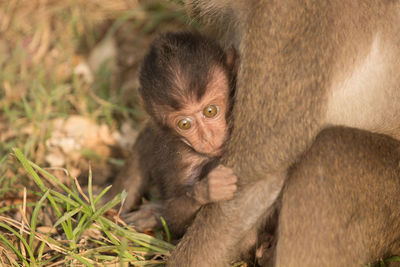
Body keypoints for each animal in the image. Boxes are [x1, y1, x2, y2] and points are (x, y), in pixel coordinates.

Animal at [108, 31, 238, 239]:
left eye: (210, 111)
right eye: (184, 124)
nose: (207, 137)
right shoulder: (183, 159)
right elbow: (175, 220)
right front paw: (207, 190)